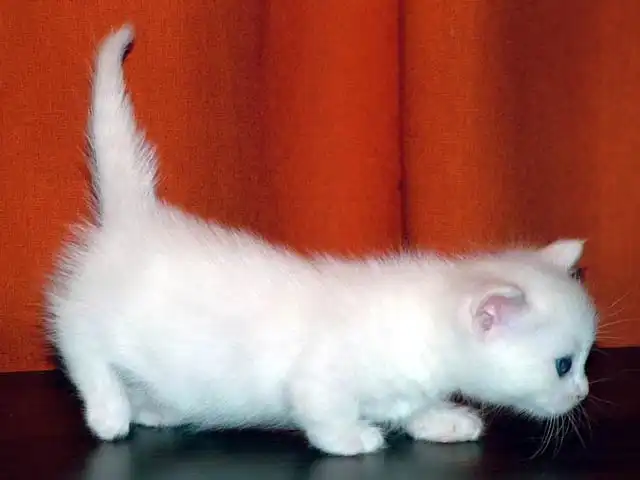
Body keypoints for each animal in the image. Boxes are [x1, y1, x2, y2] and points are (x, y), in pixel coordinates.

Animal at [46, 25, 597, 457]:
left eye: (585, 360)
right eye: (563, 365)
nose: (582, 391)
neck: (422, 322)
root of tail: (135, 217)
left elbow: (409, 405)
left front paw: (441, 418)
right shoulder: (317, 377)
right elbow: (323, 413)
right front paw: (355, 438)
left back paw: (152, 408)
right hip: (93, 321)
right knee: (78, 344)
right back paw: (110, 411)